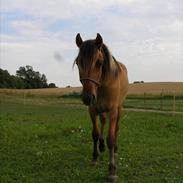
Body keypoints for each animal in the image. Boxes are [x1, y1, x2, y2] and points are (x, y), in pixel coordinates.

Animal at [73, 33, 128, 182]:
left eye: (99, 63)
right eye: (78, 63)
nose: (87, 98)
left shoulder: (113, 110)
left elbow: (111, 138)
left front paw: (112, 170)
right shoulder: (92, 110)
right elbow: (95, 134)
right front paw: (95, 157)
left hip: (119, 108)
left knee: (117, 128)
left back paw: (115, 149)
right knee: (103, 122)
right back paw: (102, 146)